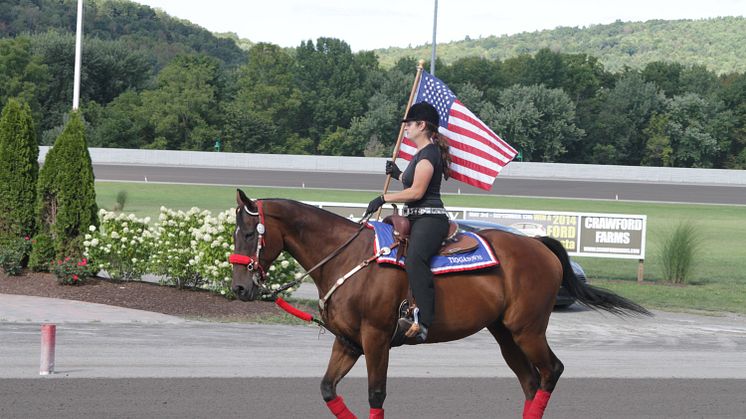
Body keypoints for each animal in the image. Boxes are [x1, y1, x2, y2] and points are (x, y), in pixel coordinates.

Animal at [230, 191, 648, 419]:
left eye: (249, 233)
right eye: (234, 233)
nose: (239, 288)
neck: (348, 257)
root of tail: (537, 244)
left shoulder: (376, 338)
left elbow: (376, 394)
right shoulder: (347, 342)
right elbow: (328, 389)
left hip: (527, 329)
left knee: (552, 371)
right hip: (505, 334)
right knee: (531, 382)